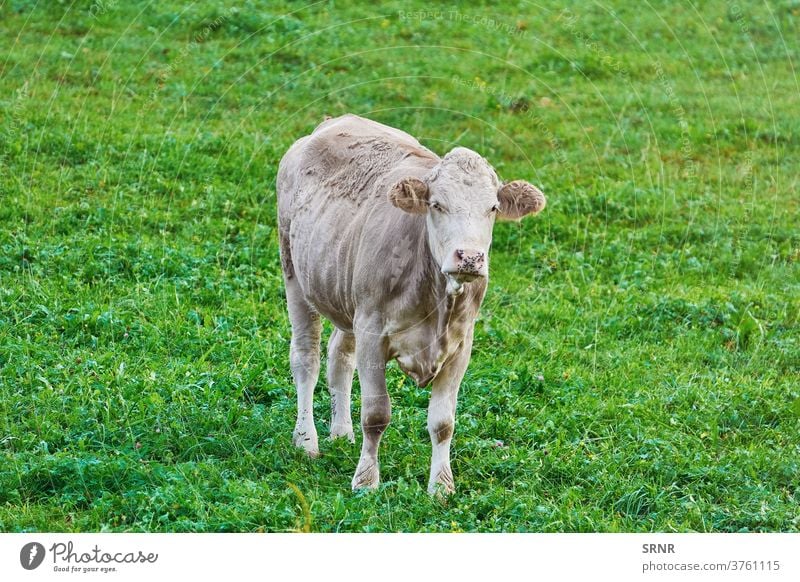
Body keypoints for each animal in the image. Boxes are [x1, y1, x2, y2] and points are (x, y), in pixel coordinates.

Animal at [276, 113, 544, 492]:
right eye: (437, 204)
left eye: (492, 208)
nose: (470, 258)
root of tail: (331, 122)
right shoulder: (373, 332)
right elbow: (376, 414)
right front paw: (366, 481)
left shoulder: (461, 345)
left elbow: (443, 422)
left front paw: (441, 487)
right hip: (295, 276)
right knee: (306, 358)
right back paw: (306, 441)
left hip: (346, 294)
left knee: (339, 354)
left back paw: (341, 432)